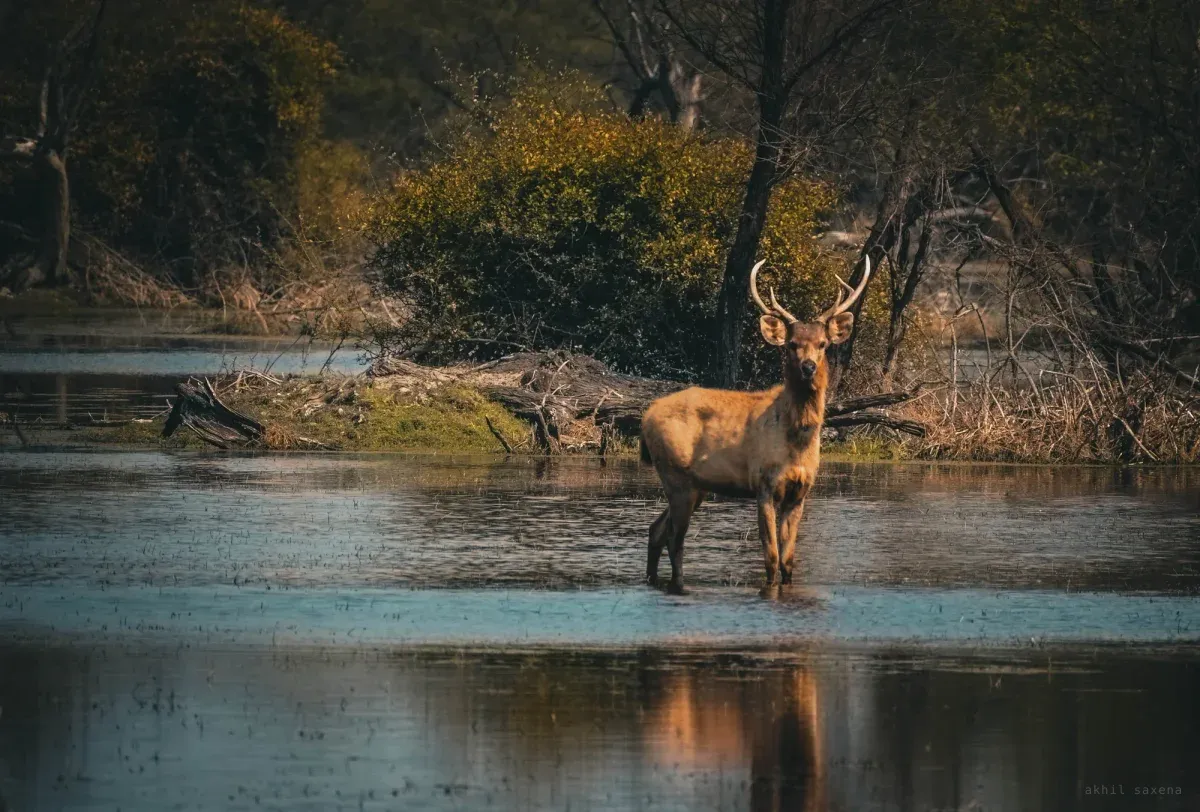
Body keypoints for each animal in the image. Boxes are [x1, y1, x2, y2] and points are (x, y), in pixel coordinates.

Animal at [639, 256, 871, 594]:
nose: (808, 367)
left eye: (823, 343)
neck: (797, 441)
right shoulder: (763, 484)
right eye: (791, 344)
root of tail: (645, 418)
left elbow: (788, 562)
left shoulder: (800, 492)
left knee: (656, 530)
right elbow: (771, 559)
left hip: (694, 486)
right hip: (675, 475)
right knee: (674, 539)